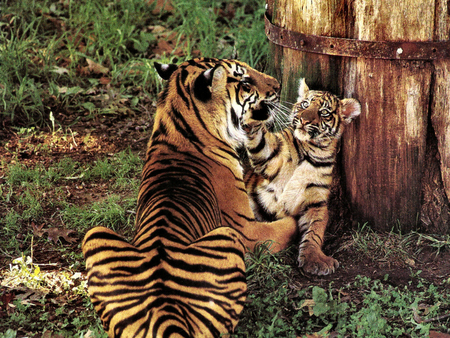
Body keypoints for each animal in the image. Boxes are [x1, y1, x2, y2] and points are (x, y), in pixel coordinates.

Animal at [81, 58, 298, 338]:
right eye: (244, 81)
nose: (278, 85)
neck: (178, 124)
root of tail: (165, 314)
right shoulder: (247, 229)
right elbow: (288, 224)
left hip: (94, 234)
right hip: (227, 236)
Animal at [243, 80, 362, 276]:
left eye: (324, 112)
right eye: (305, 104)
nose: (304, 120)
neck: (311, 150)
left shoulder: (316, 201)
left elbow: (315, 231)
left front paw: (315, 260)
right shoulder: (268, 157)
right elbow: (261, 139)